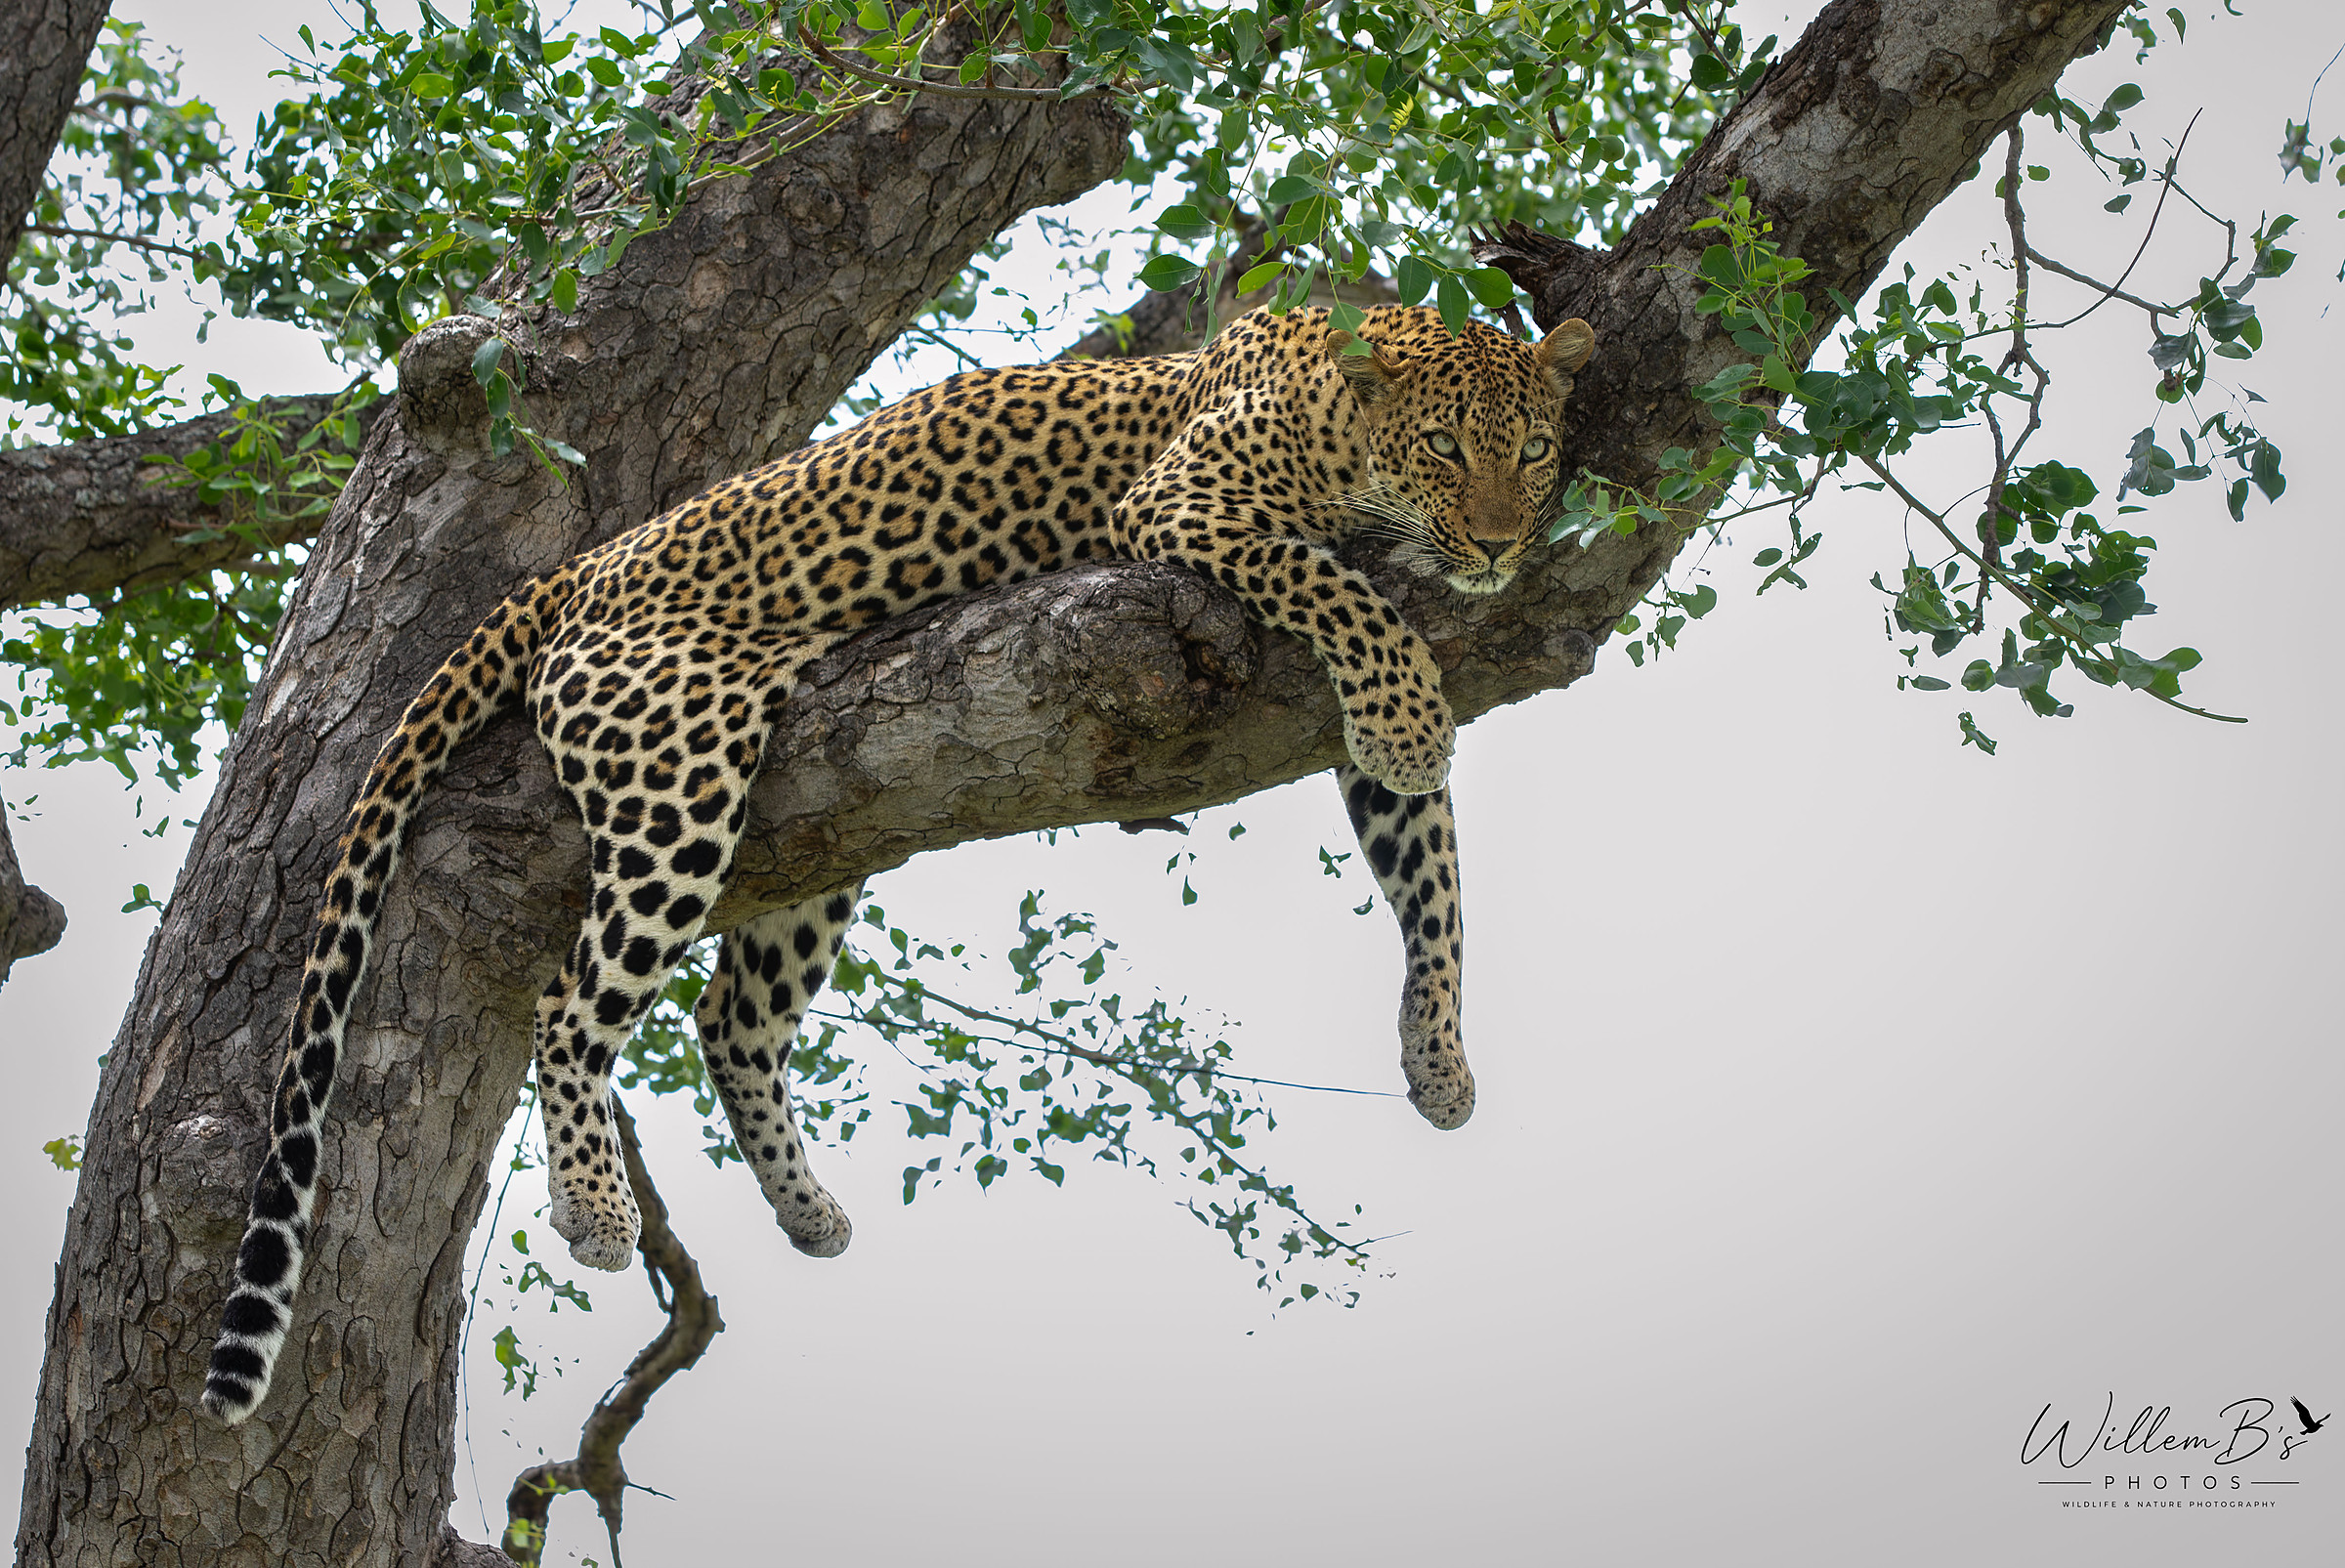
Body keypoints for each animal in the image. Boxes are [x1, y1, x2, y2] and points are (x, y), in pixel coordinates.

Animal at [202, 302, 1596, 1424]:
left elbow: (1433, 876)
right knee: (572, 1004)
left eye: (1532, 451)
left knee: (729, 1021)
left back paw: (808, 1210)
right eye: (1446, 447)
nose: (1495, 545)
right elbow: (1341, 594)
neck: (1340, 413)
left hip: (821, 822)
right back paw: (596, 1211)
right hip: (676, 773)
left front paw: (1439, 1060)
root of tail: (586, 561)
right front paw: (1411, 719)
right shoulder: (1185, 507)